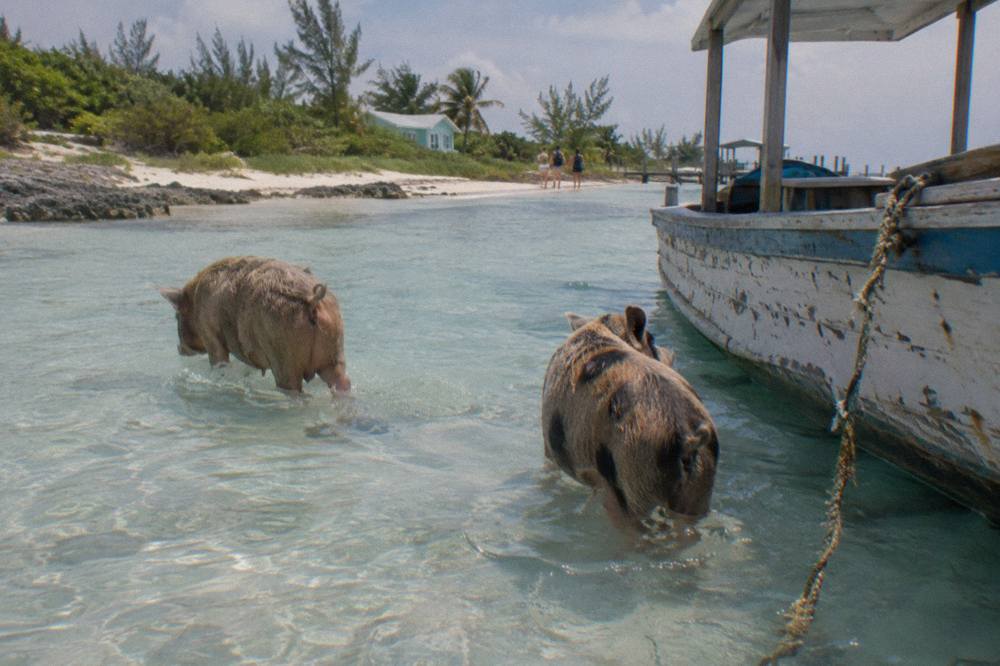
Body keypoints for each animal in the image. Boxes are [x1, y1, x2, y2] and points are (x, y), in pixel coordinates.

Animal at [159, 256, 351, 394]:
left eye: (176, 317)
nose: (179, 349)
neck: (195, 299)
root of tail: (312, 300)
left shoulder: (210, 333)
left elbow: (219, 360)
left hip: (284, 355)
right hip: (335, 348)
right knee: (343, 383)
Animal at [541, 305, 718, 526]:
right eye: (651, 340)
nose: (671, 352)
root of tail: (688, 437)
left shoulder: (549, 448)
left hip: (631, 480)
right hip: (700, 487)